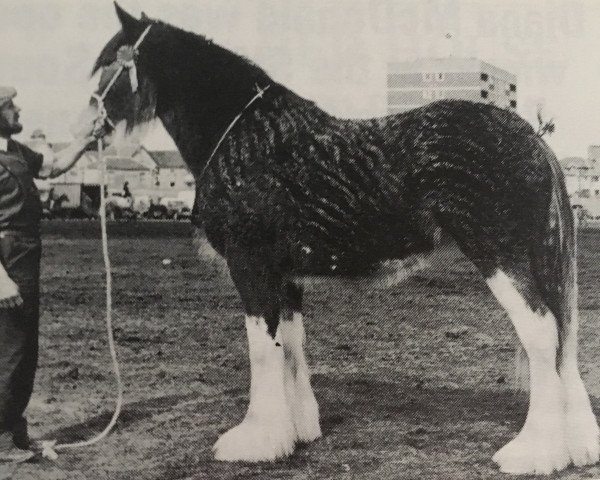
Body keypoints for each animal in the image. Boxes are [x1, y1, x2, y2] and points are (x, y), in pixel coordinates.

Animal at [88, 4, 600, 476]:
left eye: (110, 63)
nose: (92, 127)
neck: (246, 137)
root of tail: (532, 137)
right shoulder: (285, 277)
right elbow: (290, 345)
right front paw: (296, 431)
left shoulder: (251, 267)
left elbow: (261, 348)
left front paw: (255, 441)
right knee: (561, 335)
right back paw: (575, 445)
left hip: (501, 256)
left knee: (541, 333)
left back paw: (534, 452)